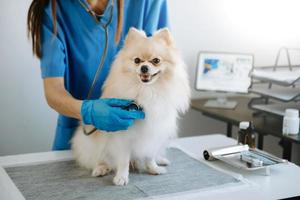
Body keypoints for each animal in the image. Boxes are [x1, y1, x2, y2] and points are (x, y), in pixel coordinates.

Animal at [71, 27, 190, 185]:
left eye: (156, 61)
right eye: (137, 61)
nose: (144, 67)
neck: (147, 91)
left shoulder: (154, 133)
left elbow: (150, 155)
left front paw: (153, 168)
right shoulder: (123, 136)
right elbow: (123, 160)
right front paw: (121, 177)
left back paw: (160, 160)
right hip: (92, 143)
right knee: (99, 158)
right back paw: (101, 168)